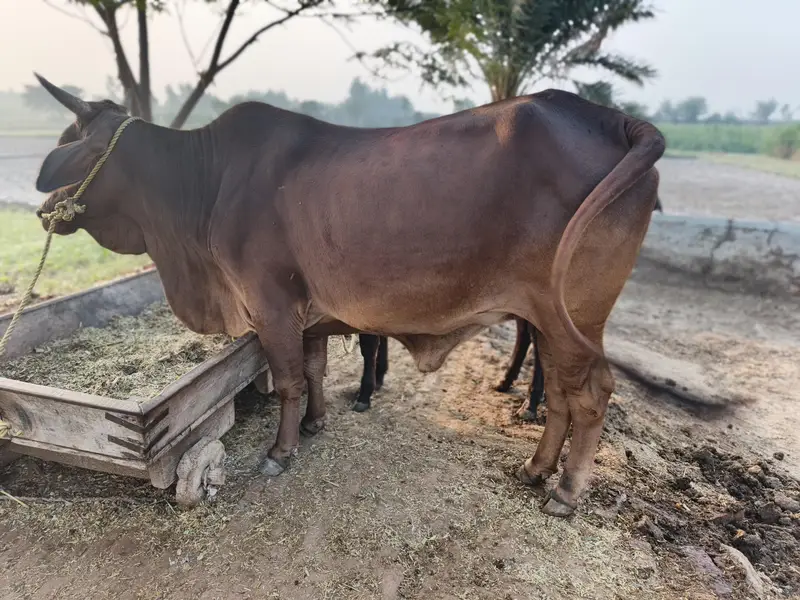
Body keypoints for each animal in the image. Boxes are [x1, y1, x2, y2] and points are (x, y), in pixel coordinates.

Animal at [33, 75, 665, 516]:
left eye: (72, 142)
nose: (44, 209)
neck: (201, 187)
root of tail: (613, 120)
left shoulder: (269, 305)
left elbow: (288, 381)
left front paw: (280, 452)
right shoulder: (308, 315)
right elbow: (313, 370)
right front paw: (315, 424)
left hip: (573, 321)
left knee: (591, 397)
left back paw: (566, 492)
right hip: (552, 323)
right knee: (558, 393)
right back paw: (535, 469)